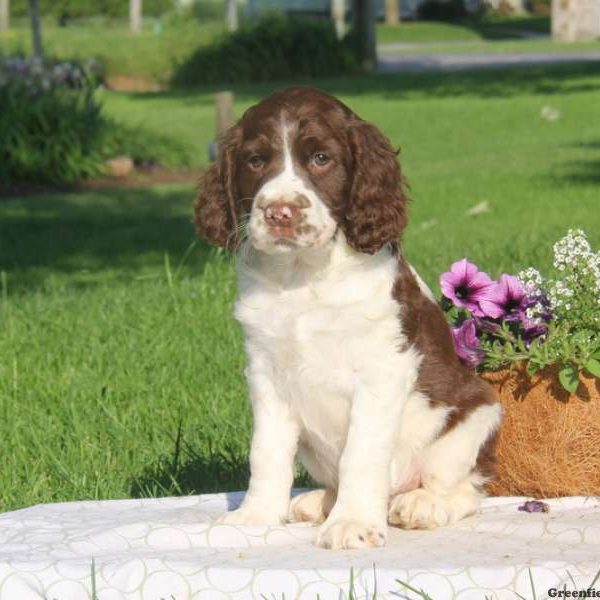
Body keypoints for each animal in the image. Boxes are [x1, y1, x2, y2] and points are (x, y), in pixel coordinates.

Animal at [193, 86, 502, 552]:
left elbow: (362, 451)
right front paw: (254, 516)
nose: (279, 213)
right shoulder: (266, 372)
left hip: (477, 415)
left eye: (321, 158)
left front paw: (351, 523)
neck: (303, 275)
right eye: (255, 161)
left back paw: (421, 505)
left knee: (465, 489)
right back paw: (316, 501)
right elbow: (265, 451)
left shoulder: (382, 369)